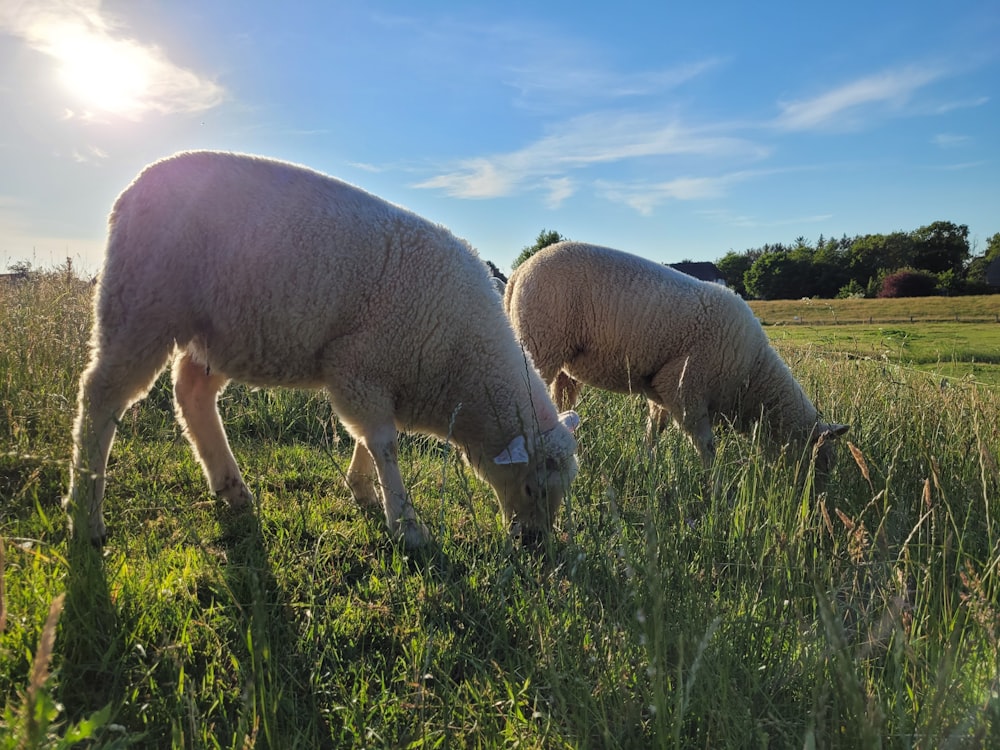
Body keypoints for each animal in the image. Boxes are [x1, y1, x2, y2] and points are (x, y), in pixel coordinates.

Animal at [68, 151, 580, 552]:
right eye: (531, 485)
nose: (536, 543)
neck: (461, 367)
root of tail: (134, 186)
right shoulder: (360, 365)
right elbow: (385, 444)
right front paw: (405, 524)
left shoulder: (375, 374)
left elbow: (370, 439)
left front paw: (364, 490)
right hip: (143, 300)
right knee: (101, 395)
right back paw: (85, 514)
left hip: (218, 329)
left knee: (192, 393)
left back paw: (232, 487)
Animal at [504, 242, 848, 470]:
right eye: (821, 460)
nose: (816, 501)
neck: (752, 380)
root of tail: (519, 272)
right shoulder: (685, 390)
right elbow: (706, 445)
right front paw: (715, 486)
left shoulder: (661, 390)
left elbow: (653, 432)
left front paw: (648, 466)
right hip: (539, 344)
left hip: (560, 363)